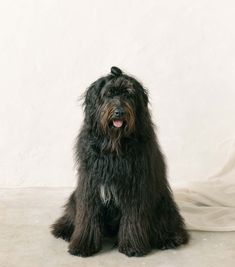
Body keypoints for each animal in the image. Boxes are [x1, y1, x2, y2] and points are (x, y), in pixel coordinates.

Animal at [51, 66, 189, 258]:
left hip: (163, 202)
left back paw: (169, 239)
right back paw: (63, 230)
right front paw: (82, 246)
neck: (114, 146)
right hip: (74, 198)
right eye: (108, 94)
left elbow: (133, 218)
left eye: (129, 95)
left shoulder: (135, 187)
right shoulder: (90, 186)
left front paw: (132, 247)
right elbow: (87, 216)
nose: (119, 112)